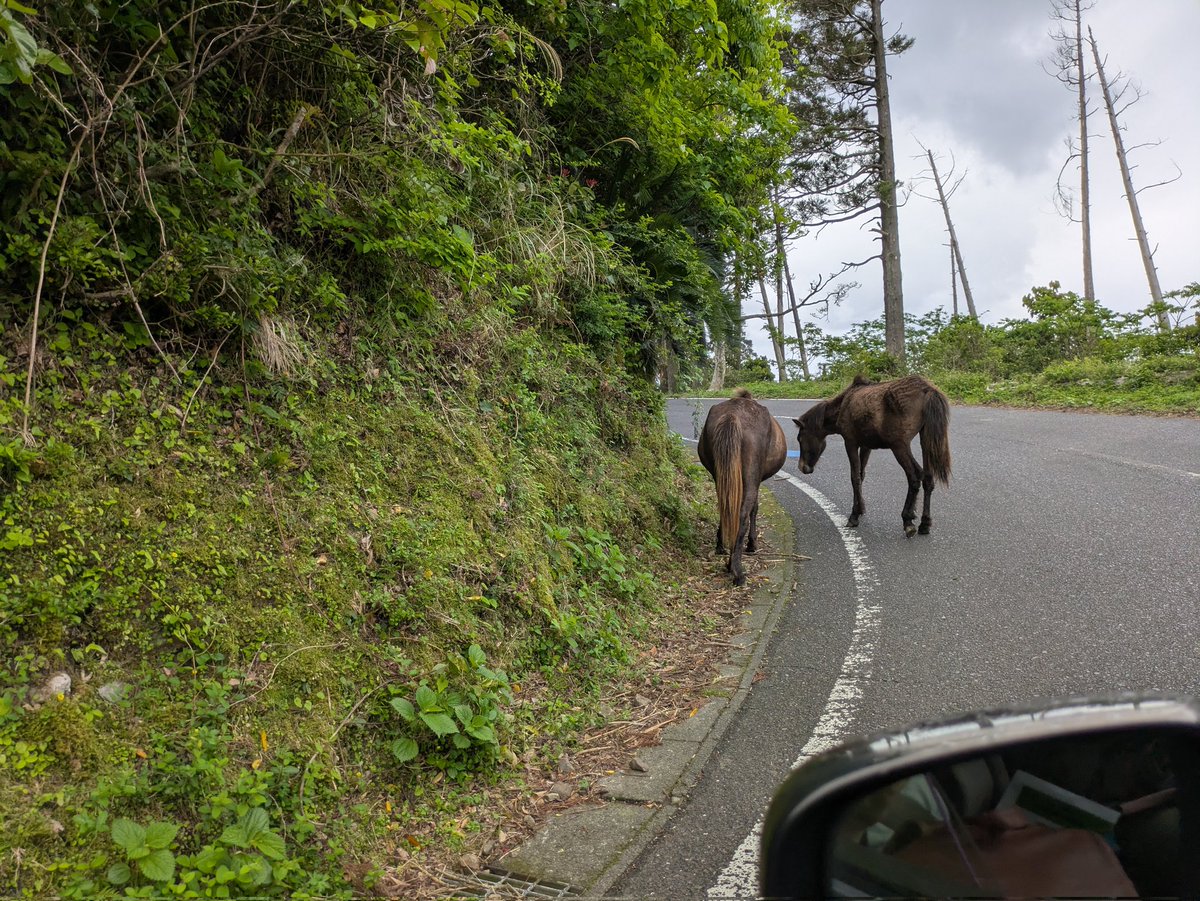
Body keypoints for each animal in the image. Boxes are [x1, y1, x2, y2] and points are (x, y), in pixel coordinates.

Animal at [698, 389, 788, 586]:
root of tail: (732, 416)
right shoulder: (757, 479)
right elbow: (755, 508)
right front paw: (752, 545)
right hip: (750, 475)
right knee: (742, 515)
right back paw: (736, 570)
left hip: (721, 473)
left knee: (726, 509)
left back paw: (724, 551)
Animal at [792, 375, 951, 537]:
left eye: (800, 438)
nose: (802, 467)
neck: (841, 409)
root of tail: (928, 390)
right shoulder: (866, 445)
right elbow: (861, 475)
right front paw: (861, 508)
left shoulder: (850, 442)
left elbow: (854, 477)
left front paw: (854, 516)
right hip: (925, 439)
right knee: (928, 478)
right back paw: (925, 523)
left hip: (899, 445)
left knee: (914, 476)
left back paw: (907, 520)